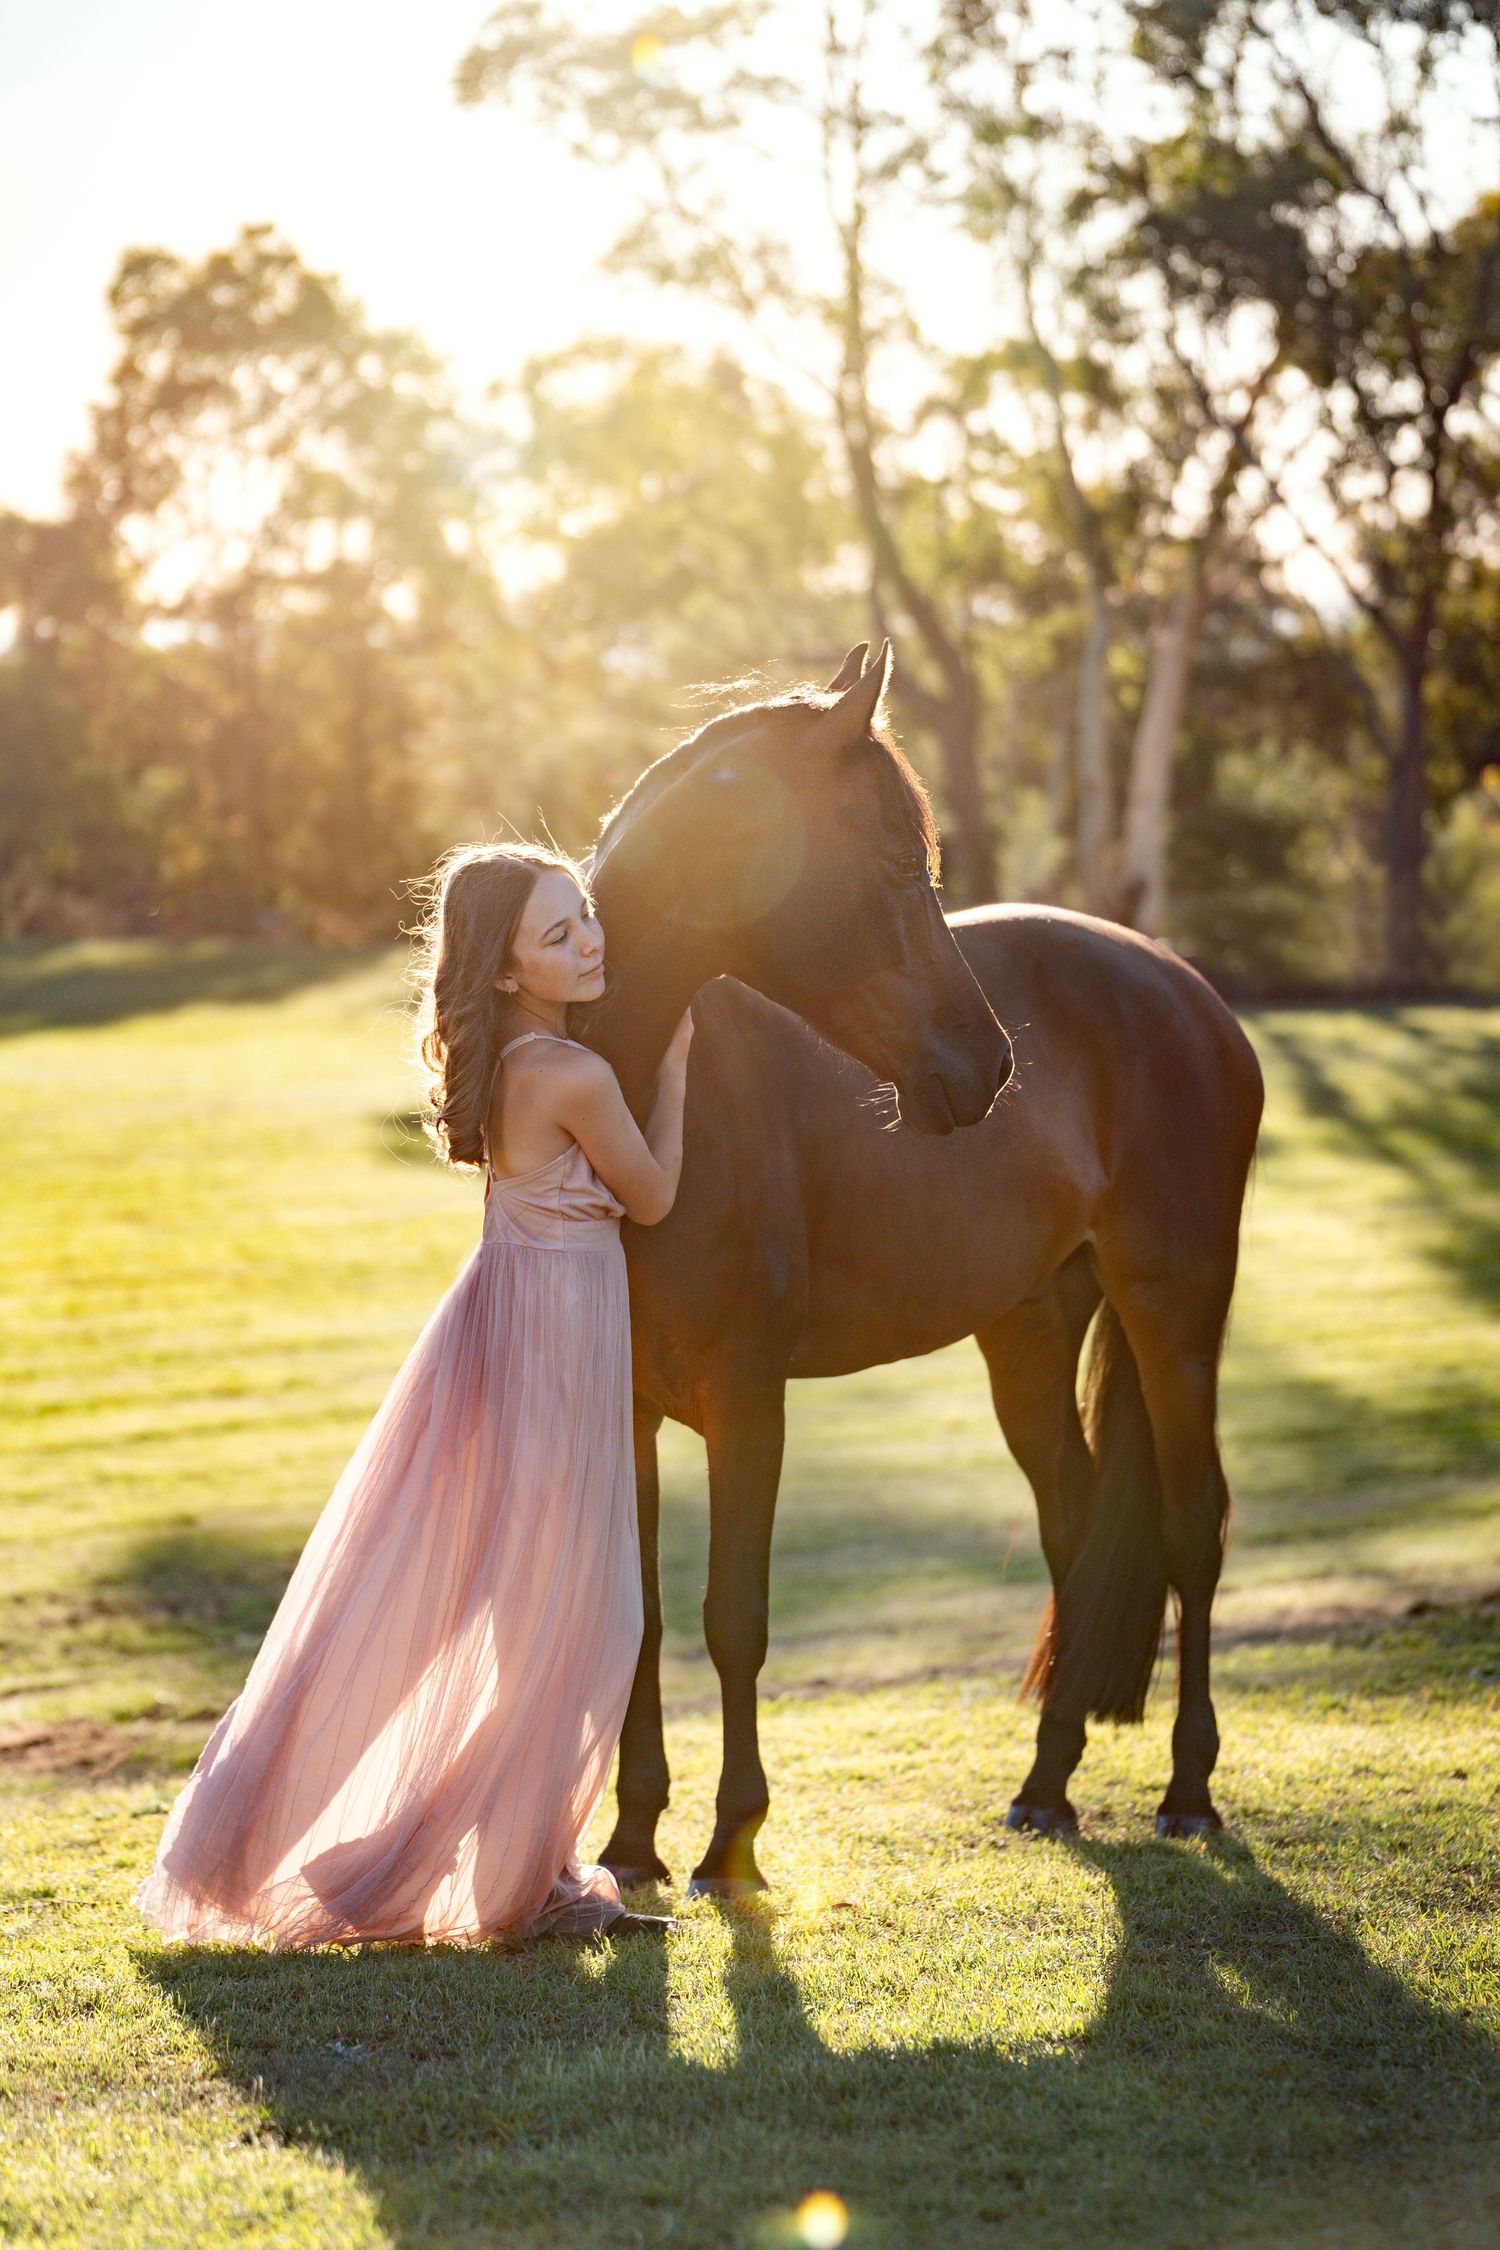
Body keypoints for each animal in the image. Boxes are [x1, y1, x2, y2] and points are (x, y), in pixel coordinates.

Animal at [581, 645, 1265, 1895]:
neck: (645, 1115)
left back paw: (1189, 1792)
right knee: (1074, 1526)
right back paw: (1046, 1785)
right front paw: (632, 1844)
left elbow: (733, 1616)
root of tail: (1186, 989)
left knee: (1193, 1528)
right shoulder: (625, 1408)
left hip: (1175, 1309)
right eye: (900, 862)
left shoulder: (749, 1405)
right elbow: (642, 1617)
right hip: (1030, 1332)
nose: (989, 1066)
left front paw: (731, 1846)